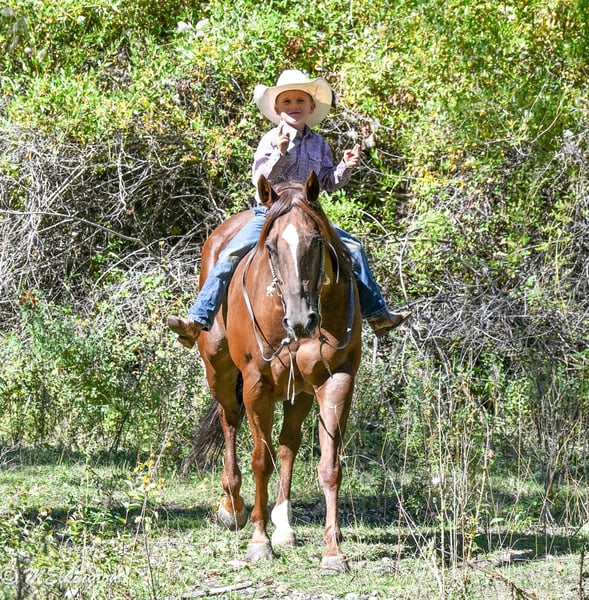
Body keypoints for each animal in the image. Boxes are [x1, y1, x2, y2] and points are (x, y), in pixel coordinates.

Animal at [193, 171, 362, 573]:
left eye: (316, 241)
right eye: (270, 247)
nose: (301, 320)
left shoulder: (337, 380)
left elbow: (329, 466)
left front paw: (333, 551)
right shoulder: (257, 385)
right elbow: (260, 461)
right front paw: (259, 541)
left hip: (298, 391)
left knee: (288, 445)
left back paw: (283, 525)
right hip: (221, 373)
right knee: (230, 423)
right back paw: (233, 507)